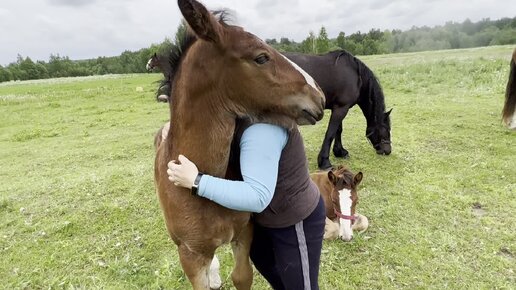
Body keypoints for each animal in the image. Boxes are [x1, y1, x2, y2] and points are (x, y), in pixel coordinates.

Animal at [148, 49, 392, 169]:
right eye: (387, 130)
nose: (387, 151)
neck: (354, 73)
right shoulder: (341, 108)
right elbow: (331, 133)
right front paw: (325, 161)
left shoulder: (338, 107)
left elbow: (337, 131)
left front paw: (340, 152)